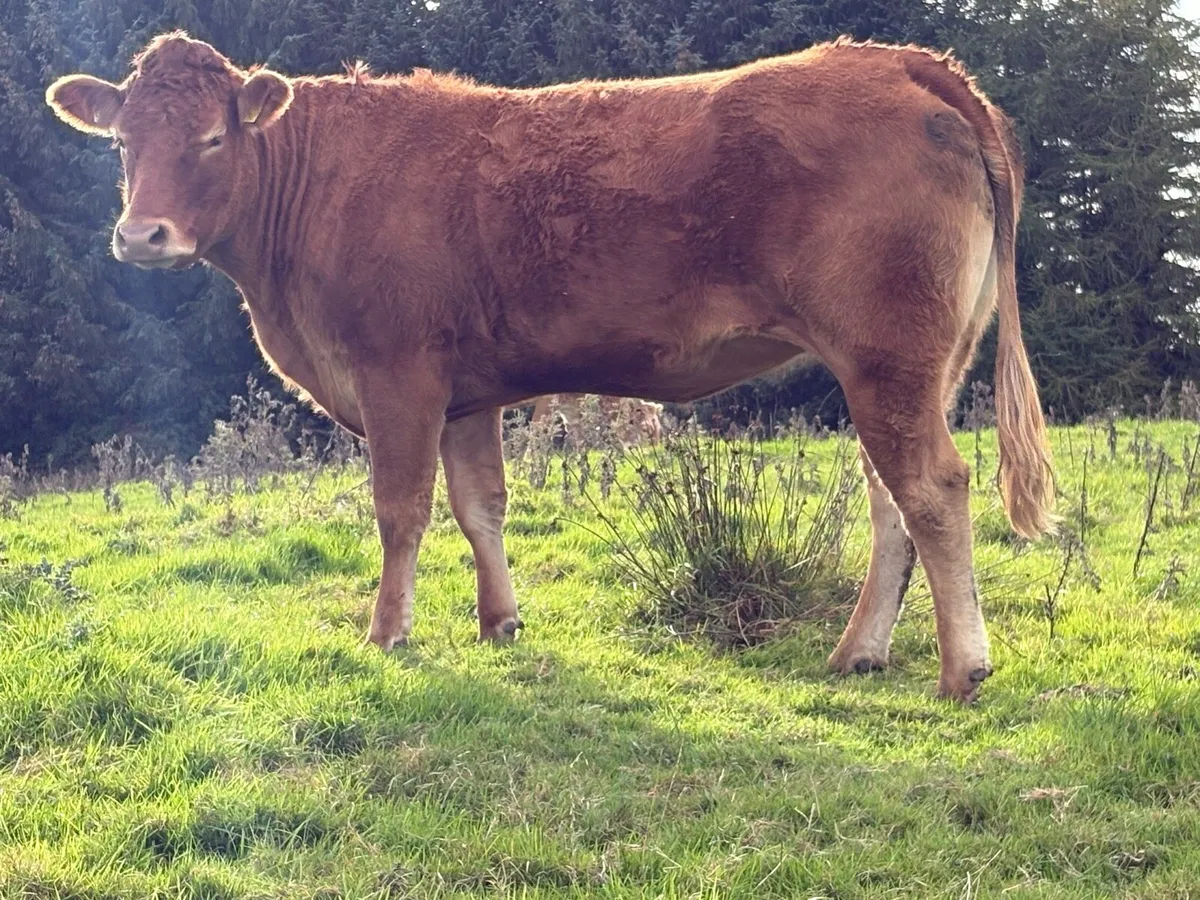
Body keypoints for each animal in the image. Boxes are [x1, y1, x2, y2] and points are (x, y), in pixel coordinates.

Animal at [530, 394, 664, 447]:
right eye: (644, 428)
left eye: (659, 429)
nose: (656, 450)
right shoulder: (546, 402)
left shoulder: (572, 414)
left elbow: (579, 441)